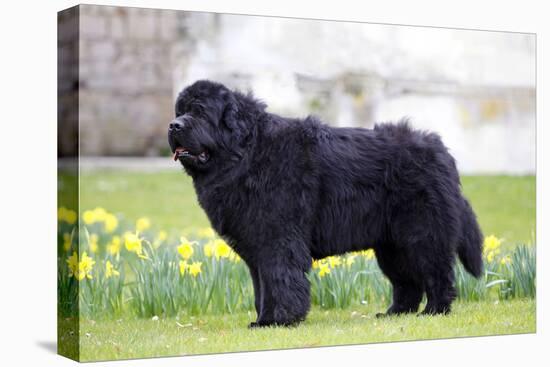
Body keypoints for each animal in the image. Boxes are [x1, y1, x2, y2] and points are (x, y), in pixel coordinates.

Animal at [167, 80, 484, 328]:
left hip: (421, 234)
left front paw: (280, 320)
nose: (173, 125)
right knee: (407, 282)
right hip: (392, 246)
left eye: (200, 111)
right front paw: (262, 320)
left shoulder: (278, 240)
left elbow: (280, 280)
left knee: (437, 274)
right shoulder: (257, 247)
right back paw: (395, 313)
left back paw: (434, 311)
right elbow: (262, 287)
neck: (246, 153)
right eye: (180, 111)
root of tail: (441, 150)